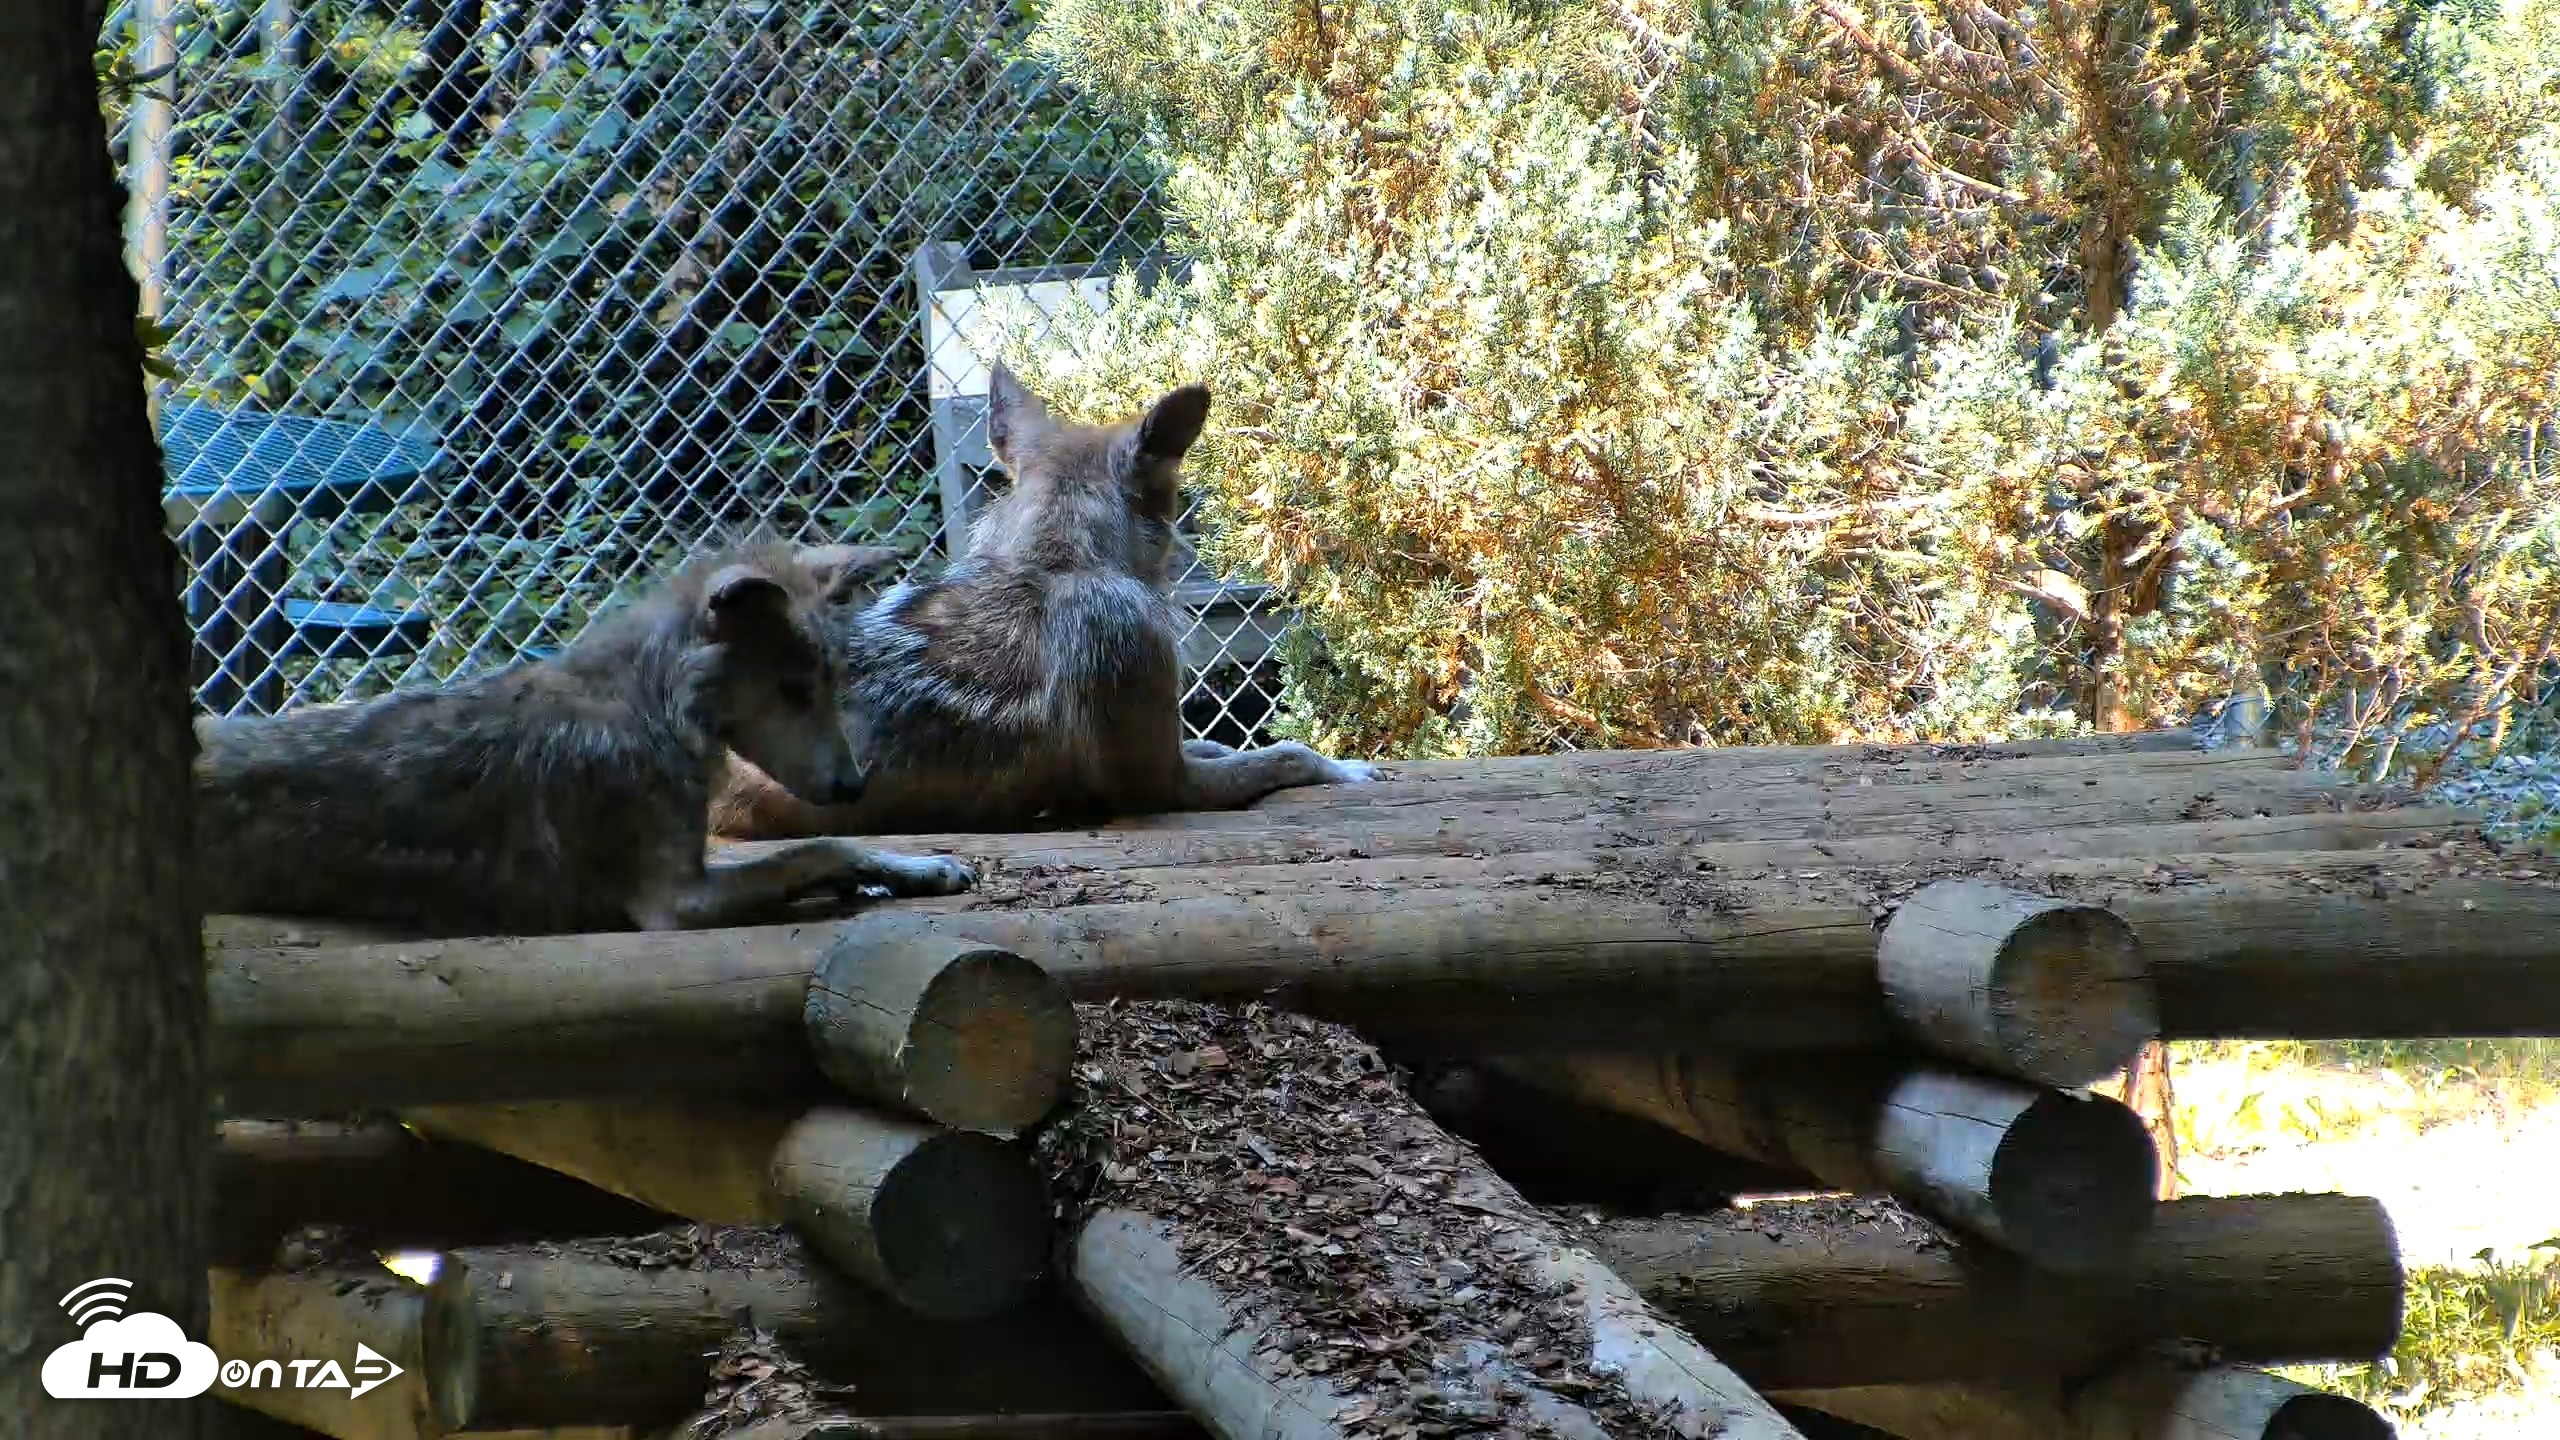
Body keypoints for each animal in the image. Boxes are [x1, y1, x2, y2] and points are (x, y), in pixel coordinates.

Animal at [196, 540, 973, 936]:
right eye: (792, 690)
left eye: (831, 683)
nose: (853, 785)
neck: (649, 706)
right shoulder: (674, 903)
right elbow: (817, 848)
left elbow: (834, 849)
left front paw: (914, 869)